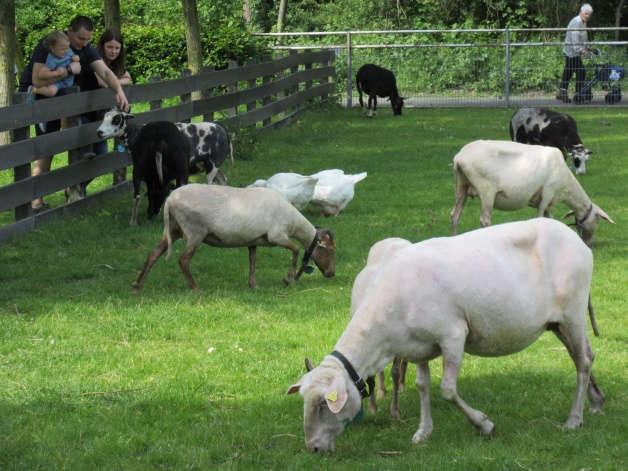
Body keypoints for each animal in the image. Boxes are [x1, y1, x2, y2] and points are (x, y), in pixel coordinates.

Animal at [131, 184, 338, 292]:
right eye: (330, 250)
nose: (332, 274)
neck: (293, 222)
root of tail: (170, 200)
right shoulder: (277, 235)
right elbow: (296, 249)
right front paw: (289, 279)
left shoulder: (253, 241)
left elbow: (253, 261)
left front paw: (253, 285)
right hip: (194, 231)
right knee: (183, 259)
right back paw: (195, 288)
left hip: (174, 229)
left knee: (153, 253)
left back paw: (137, 284)